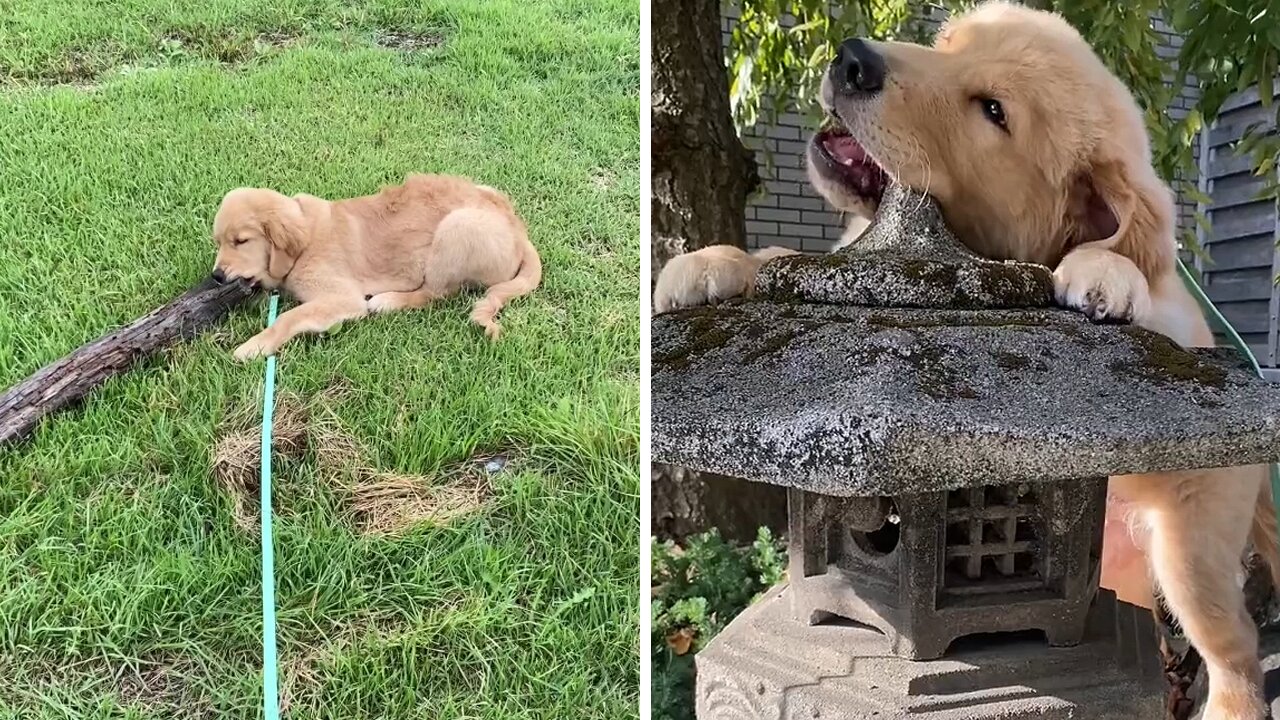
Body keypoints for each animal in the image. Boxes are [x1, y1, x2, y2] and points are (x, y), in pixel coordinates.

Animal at [211, 174, 540, 358]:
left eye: (240, 241)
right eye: (219, 241)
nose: (216, 276)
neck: (304, 244)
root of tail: (520, 232)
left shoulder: (342, 298)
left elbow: (288, 317)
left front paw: (255, 345)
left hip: (457, 226)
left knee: (435, 293)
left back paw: (388, 301)